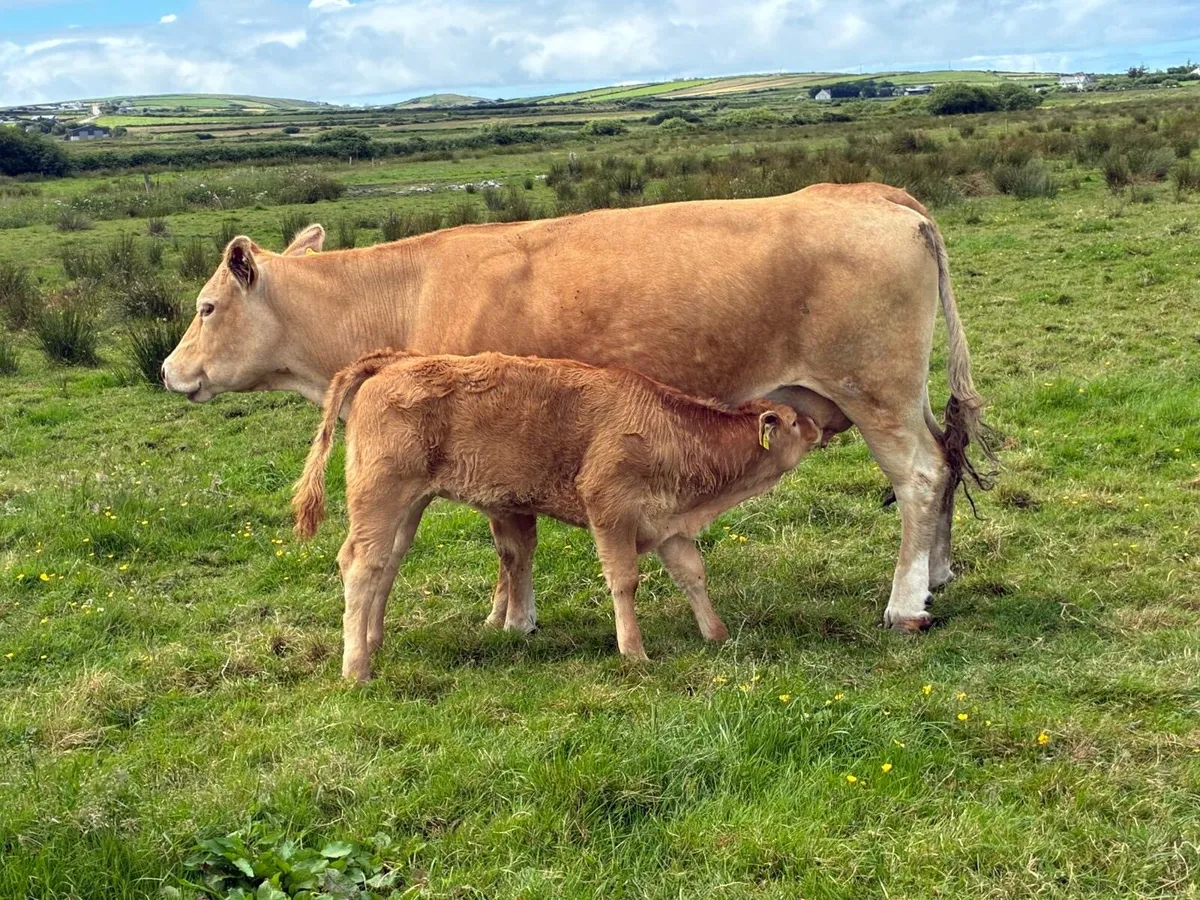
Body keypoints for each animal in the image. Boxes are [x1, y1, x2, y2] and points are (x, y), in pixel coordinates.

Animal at [162, 183, 994, 635]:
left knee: (920, 477)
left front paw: (514, 618)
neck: (409, 287)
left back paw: (905, 602)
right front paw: (505, 614)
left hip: (877, 393)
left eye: (205, 307)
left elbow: (510, 541)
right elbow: (514, 540)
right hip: (902, 398)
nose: (168, 371)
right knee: (948, 456)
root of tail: (869, 193)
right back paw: (940, 572)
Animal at [291, 349, 821, 681]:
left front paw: (716, 634)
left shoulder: (666, 523)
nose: (821, 427)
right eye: (795, 421)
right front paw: (635, 653)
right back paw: (356, 668)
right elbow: (625, 580)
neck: (669, 428)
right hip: (380, 497)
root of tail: (393, 363)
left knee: (385, 566)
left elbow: (692, 573)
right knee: (359, 565)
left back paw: (373, 640)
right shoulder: (610, 508)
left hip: (407, 506)